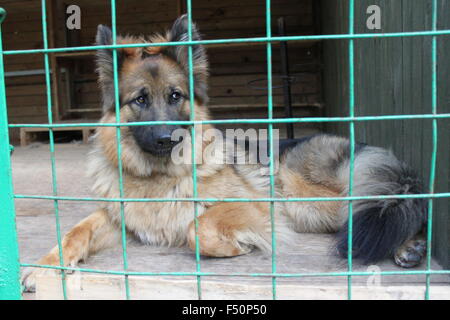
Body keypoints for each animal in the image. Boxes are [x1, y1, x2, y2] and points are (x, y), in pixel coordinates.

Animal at [21, 14, 428, 290]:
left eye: (175, 96)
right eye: (140, 100)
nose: (168, 139)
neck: (157, 177)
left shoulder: (257, 207)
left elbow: (197, 227)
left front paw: (238, 246)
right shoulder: (118, 217)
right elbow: (74, 232)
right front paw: (46, 266)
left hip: (303, 197)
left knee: (382, 209)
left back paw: (408, 245)